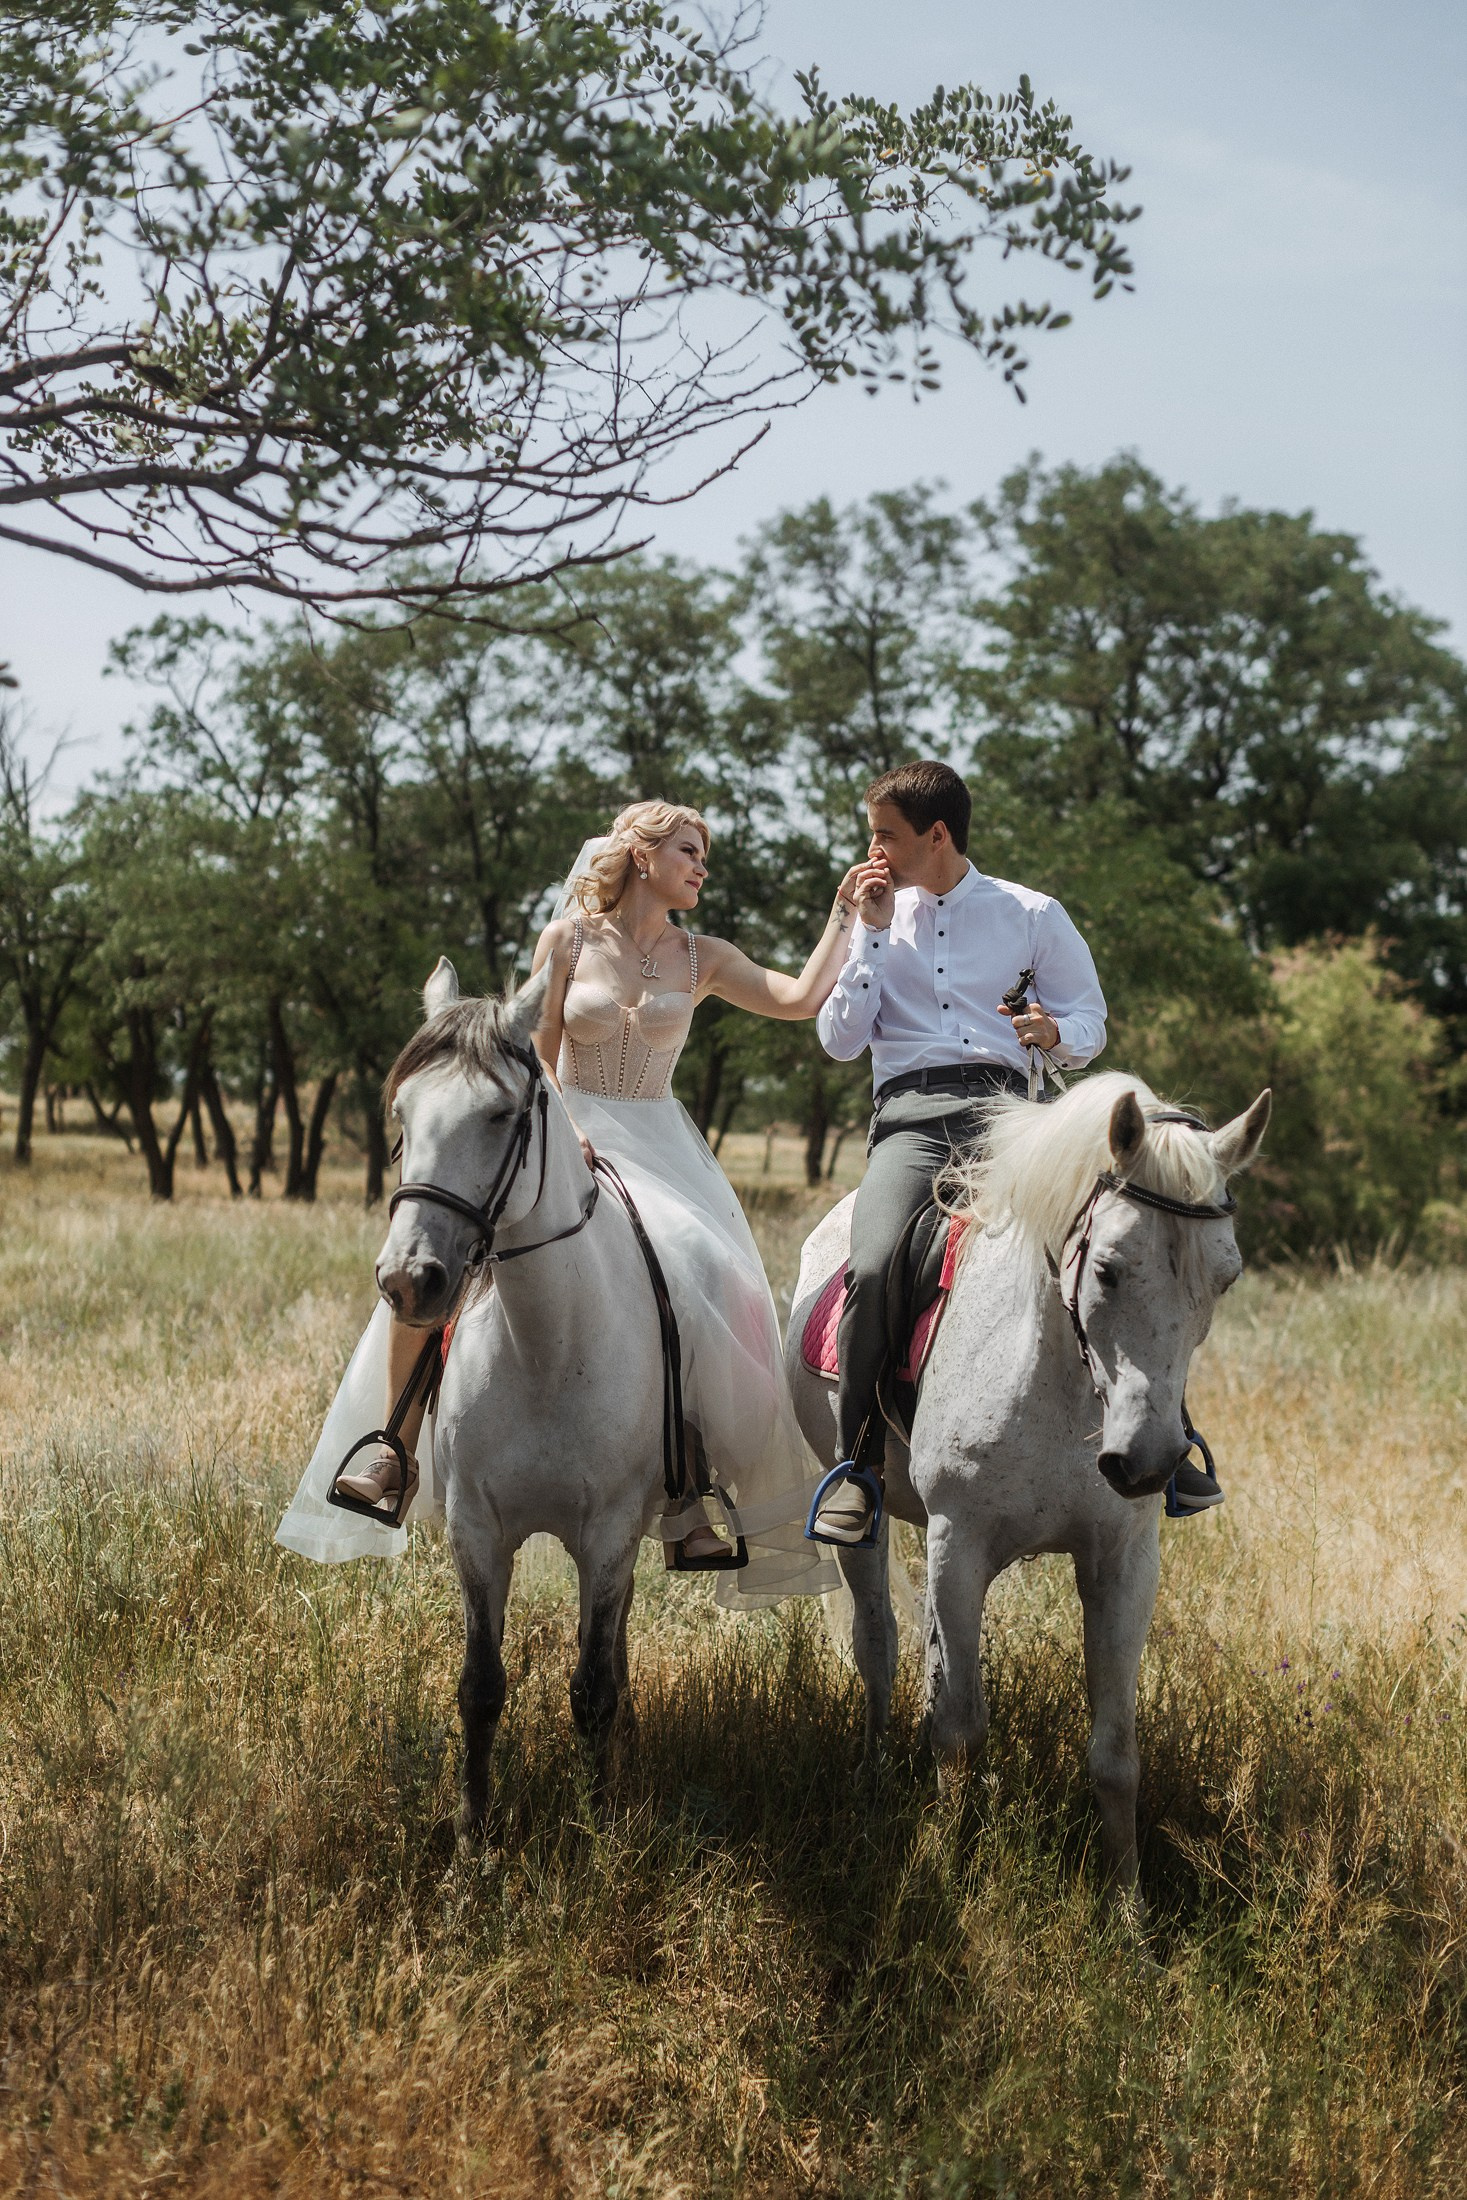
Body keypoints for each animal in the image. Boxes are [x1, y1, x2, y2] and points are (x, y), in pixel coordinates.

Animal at [375, 958, 676, 1834]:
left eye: (502, 1114)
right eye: (401, 1115)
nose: (408, 1281)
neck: (548, 1349)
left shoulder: (607, 1535)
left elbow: (592, 1688)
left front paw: (598, 1826)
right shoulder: (476, 1532)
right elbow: (480, 1687)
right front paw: (473, 1835)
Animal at [786, 1073, 1271, 1893]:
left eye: (1225, 1278)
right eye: (1107, 1267)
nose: (1148, 1462)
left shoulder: (1123, 1564)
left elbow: (1114, 1754)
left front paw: (1127, 1906)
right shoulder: (958, 1546)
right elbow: (959, 1728)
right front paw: (945, 1869)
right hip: (868, 1520)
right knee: (877, 1642)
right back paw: (873, 1775)